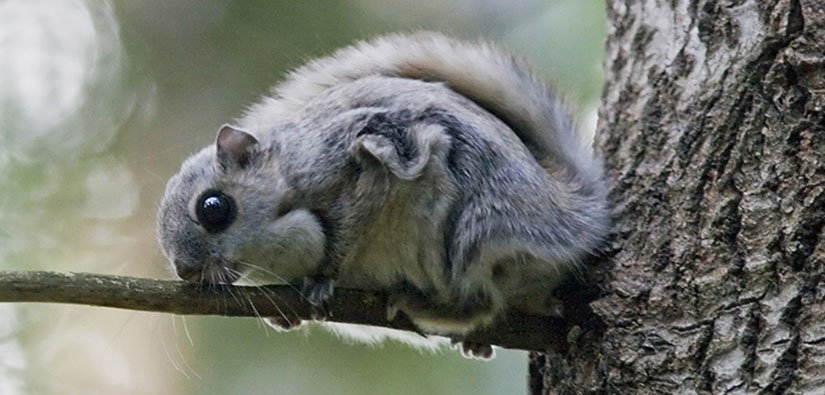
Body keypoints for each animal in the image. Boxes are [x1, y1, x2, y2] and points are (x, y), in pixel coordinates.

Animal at [156, 31, 604, 358]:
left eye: (214, 208)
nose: (185, 271)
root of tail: (571, 214)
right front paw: (288, 317)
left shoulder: (355, 166)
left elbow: (350, 224)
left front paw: (322, 280)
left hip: (469, 233)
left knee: (478, 301)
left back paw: (416, 303)